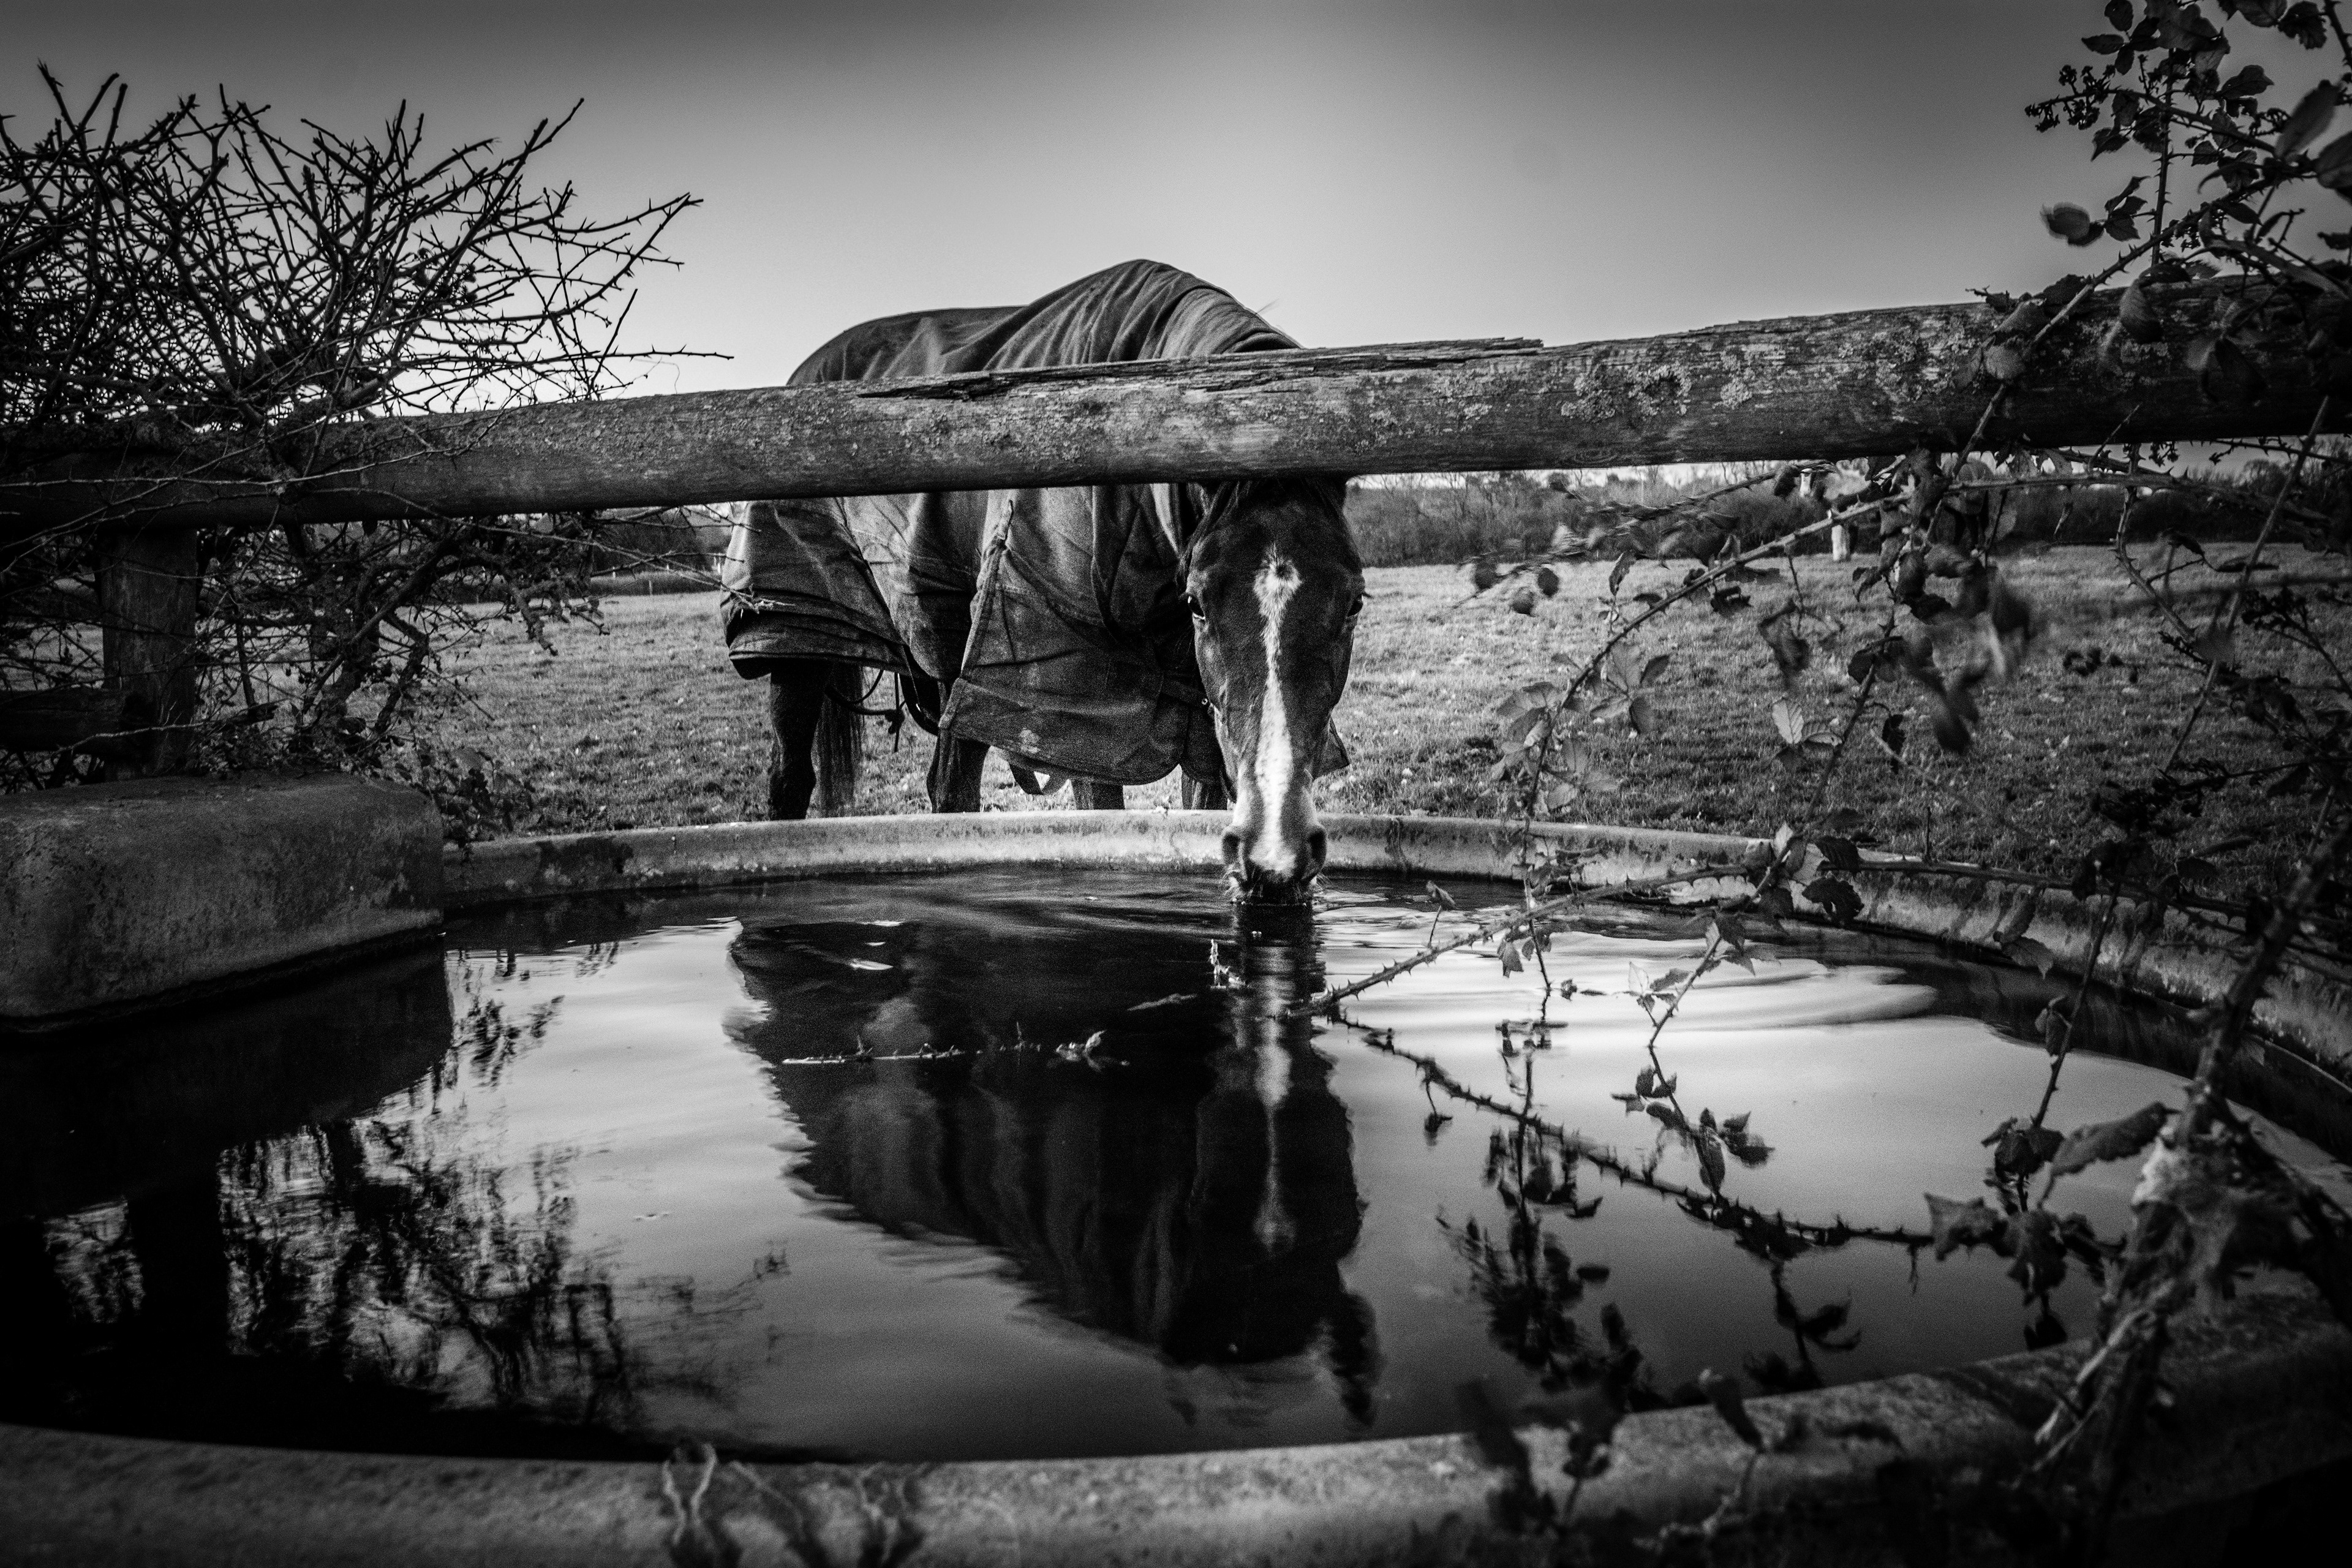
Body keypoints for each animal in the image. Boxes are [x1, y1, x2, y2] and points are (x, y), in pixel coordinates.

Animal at [720, 260, 1363, 903]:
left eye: (1355, 603)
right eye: (1198, 603)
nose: (1275, 859)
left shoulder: (1205, 718)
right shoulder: (1081, 706)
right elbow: (1102, 819)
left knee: (946, 787)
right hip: (796, 640)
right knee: (800, 779)